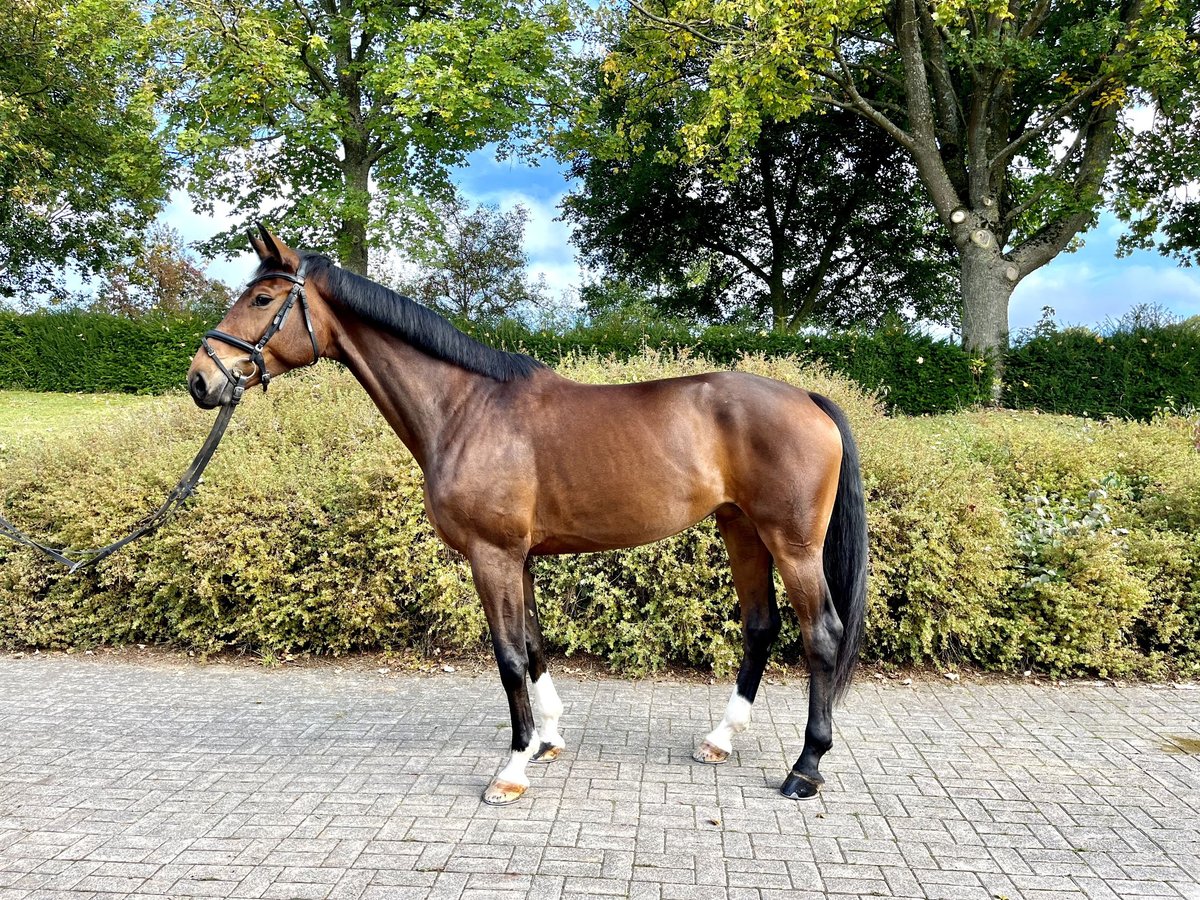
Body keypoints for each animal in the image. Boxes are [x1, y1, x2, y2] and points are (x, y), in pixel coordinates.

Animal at [184, 229, 864, 806]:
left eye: (262, 298)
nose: (200, 380)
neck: (464, 409)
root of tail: (809, 399)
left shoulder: (493, 557)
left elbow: (509, 655)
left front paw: (510, 771)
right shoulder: (523, 560)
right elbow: (534, 646)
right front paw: (545, 741)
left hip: (792, 543)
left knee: (822, 635)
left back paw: (805, 768)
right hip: (740, 528)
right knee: (760, 626)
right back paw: (720, 739)